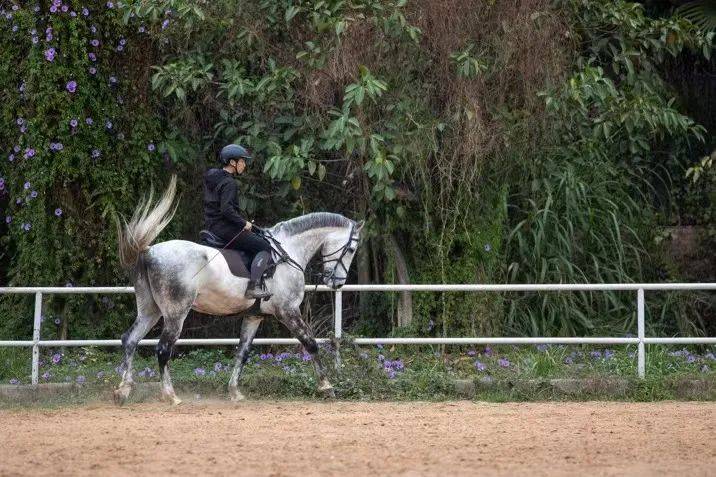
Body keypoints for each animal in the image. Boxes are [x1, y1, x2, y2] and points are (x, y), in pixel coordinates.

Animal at [116, 177, 364, 404]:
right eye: (352, 249)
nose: (337, 283)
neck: (288, 251)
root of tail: (149, 252)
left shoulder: (254, 316)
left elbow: (242, 353)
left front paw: (234, 391)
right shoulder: (288, 311)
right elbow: (310, 343)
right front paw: (327, 386)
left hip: (151, 310)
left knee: (130, 340)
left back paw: (123, 390)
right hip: (175, 314)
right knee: (162, 349)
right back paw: (170, 395)